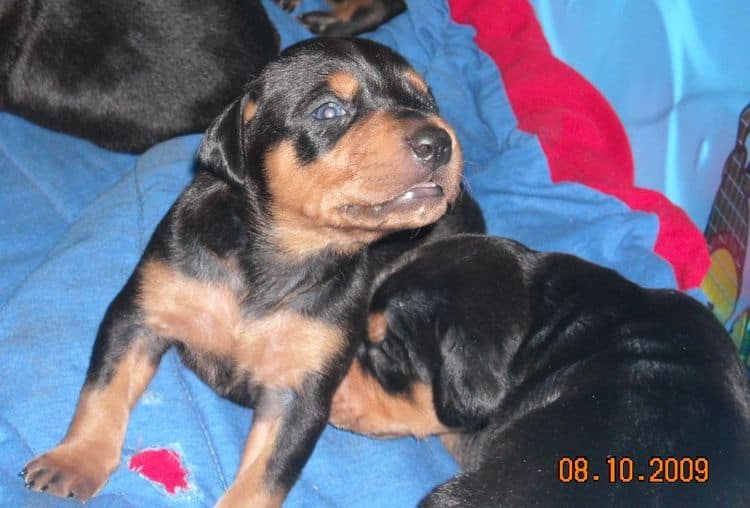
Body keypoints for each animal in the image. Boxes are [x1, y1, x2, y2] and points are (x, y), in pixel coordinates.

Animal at [19, 37, 488, 506]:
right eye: (328, 111)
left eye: (426, 101)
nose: (438, 141)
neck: (280, 256)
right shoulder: (139, 314)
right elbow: (103, 390)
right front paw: (74, 461)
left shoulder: (299, 394)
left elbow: (265, 476)